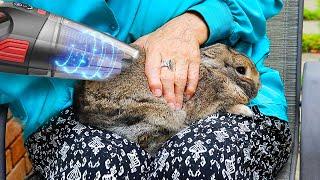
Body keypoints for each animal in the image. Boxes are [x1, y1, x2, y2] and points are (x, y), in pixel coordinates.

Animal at [74, 43, 260, 154]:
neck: (219, 74)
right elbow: (228, 106)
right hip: (165, 113)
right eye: (241, 70)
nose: (259, 86)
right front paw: (247, 111)